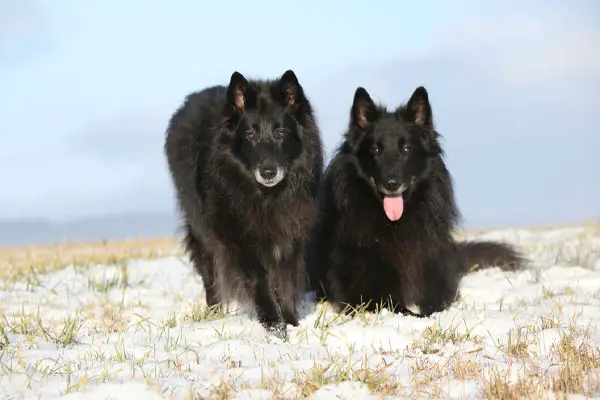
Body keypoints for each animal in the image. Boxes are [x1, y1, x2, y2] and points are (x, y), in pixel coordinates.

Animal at [164, 69, 324, 338]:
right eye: (250, 134)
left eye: (281, 133)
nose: (268, 172)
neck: (266, 196)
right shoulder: (238, 240)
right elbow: (259, 280)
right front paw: (274, 325)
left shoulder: (289, 237)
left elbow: (286, 282)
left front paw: (292, 323)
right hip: (201, 231)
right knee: (210, 277)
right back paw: (214, 313)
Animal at [310, 86, 524, 316]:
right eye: (375, 149)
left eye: (406, 149)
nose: (392, 184)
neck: (396, 225)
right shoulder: (365, 294)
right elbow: (402, 308)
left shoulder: (436, 273)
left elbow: (436, 305)